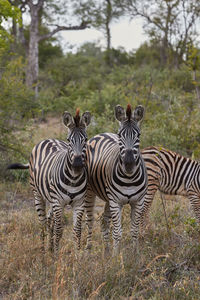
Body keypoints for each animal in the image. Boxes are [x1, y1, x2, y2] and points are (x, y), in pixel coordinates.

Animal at [7, 109, 91, 254]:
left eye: (85, 140)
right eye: (69, 140)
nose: (77, 164)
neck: (74, 178)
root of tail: (47, 139)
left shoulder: (79, 203)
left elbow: (77, 231)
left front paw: (77, 255)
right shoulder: (58, 202)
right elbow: (59, 230)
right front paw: (56, 256)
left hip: (51, 199)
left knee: (49, 220)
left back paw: (50, 247)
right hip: (38, 195)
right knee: (42, 223)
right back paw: (43, 251)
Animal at [83, 103, 148, 253]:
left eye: (138, 135)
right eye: (120, 135)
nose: (129, 164)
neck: (129, 178)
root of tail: (101, 134)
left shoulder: (139, 201)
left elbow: (134, 230)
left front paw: (135, 254)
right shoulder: (116, 202)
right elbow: (117, 232)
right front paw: (116, 256)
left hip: (108, 198)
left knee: (103, 220)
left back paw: (106, 250)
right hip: (90, 192)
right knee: (89, 220)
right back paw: (88, 250)